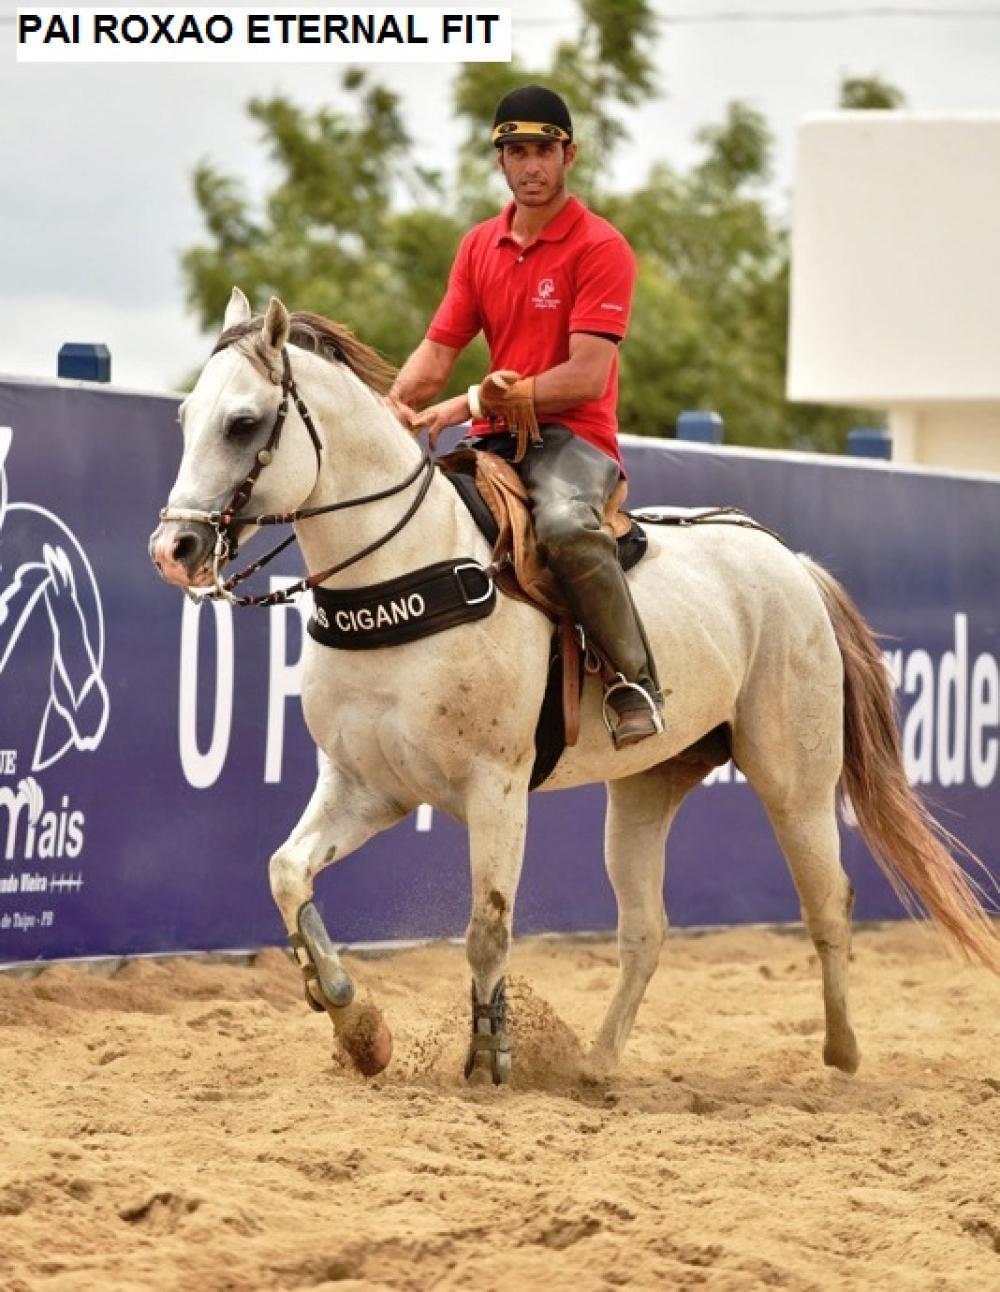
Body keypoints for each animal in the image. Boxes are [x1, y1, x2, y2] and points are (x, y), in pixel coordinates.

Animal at [149, 289, 999, 1084]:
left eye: (244, 422)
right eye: (187, 416)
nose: (173, 547)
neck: (406, 571)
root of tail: (791, 564)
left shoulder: (495, 787)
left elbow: (487, 929)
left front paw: (489, 1058)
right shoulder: (367, 786)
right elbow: (287, 873)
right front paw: (357, 1026)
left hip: (796, 780)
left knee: (828, 904)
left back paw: (842, 1052)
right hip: (646, 791)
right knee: (645, 930)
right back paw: (596, 1064)